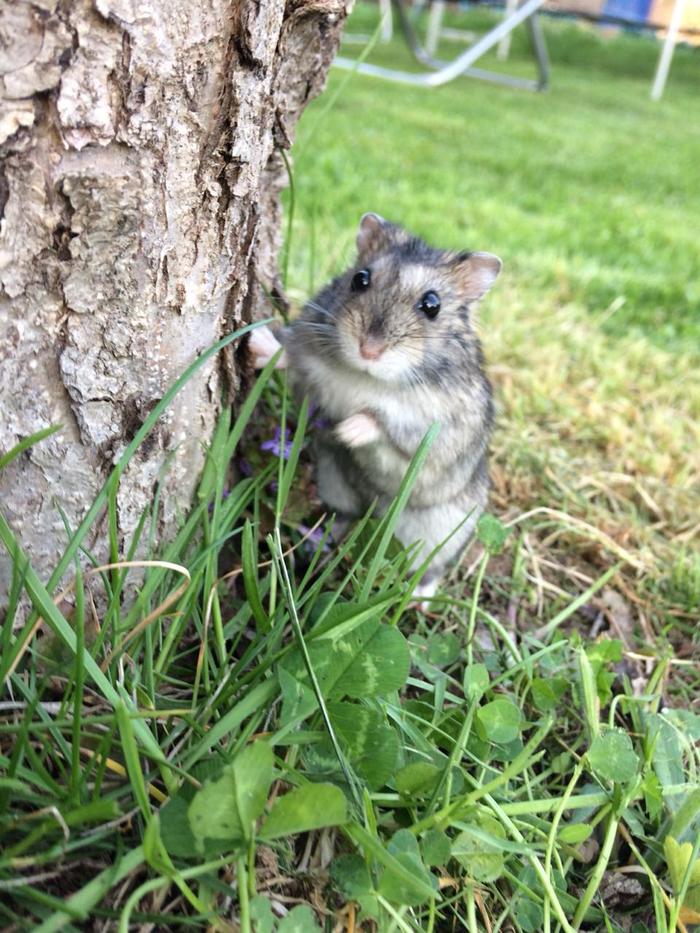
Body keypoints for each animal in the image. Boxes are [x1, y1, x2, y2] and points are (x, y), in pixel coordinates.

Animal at [249, 211, 500, 596]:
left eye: (432, 305)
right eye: (359, 279)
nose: (369, 349)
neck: (368, 377)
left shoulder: (439, 430)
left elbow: (382, 425)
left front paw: (347, 430)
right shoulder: (312, 381)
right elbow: (292, 360)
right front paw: (257, 343)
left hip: (442, 530)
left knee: (431, 568)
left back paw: (420, 597)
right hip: (334, 482)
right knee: (345, 515)